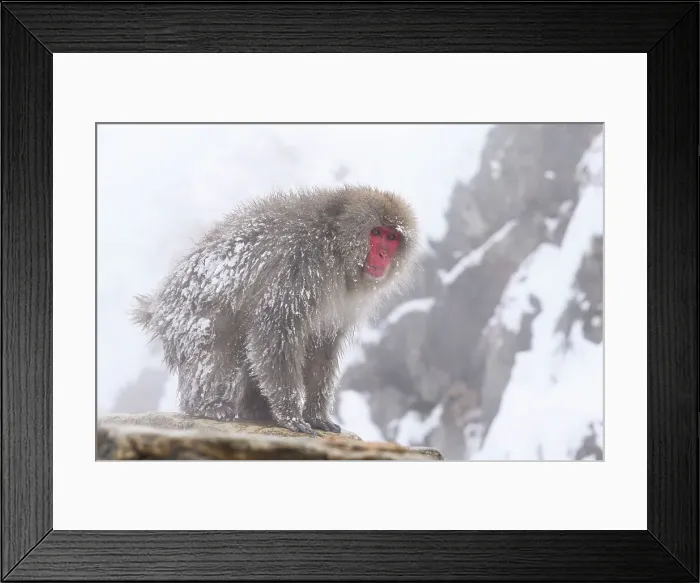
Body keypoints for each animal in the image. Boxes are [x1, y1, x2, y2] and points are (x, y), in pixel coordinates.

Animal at [131, 185, 419, 436]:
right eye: (376, 233)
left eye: (392, 237)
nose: (382, 254)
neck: (335, 247)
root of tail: (157, 306)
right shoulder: (300, 266)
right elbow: (275, 332)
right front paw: (290, 415)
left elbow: (322, 347)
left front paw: (316, 415)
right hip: (187, 319)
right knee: (217, 346)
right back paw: (206, 405)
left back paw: (255, 409)